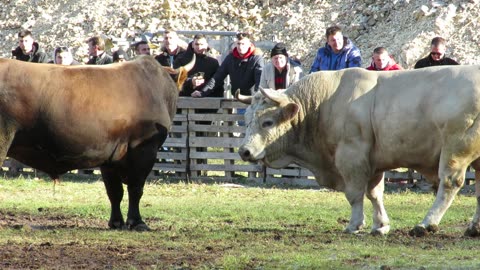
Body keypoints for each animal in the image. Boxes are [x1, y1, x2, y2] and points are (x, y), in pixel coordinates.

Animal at [0, 56, 193, 231]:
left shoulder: (110, 154)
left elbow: (114, 191)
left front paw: (116, 222)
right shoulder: (145, 149)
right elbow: (136, 188)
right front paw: (137, 222)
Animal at [237, 66, 480, 236]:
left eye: (267, 122)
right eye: (246, 120)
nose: (244, 151)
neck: (323, 103)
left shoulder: (351, 156)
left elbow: (354, 194)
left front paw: (355, 224)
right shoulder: (373, 163)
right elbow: (374, 193)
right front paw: (380, 225)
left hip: (455, 149)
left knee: (449, 183)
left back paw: (426, 224)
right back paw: (473, 228)